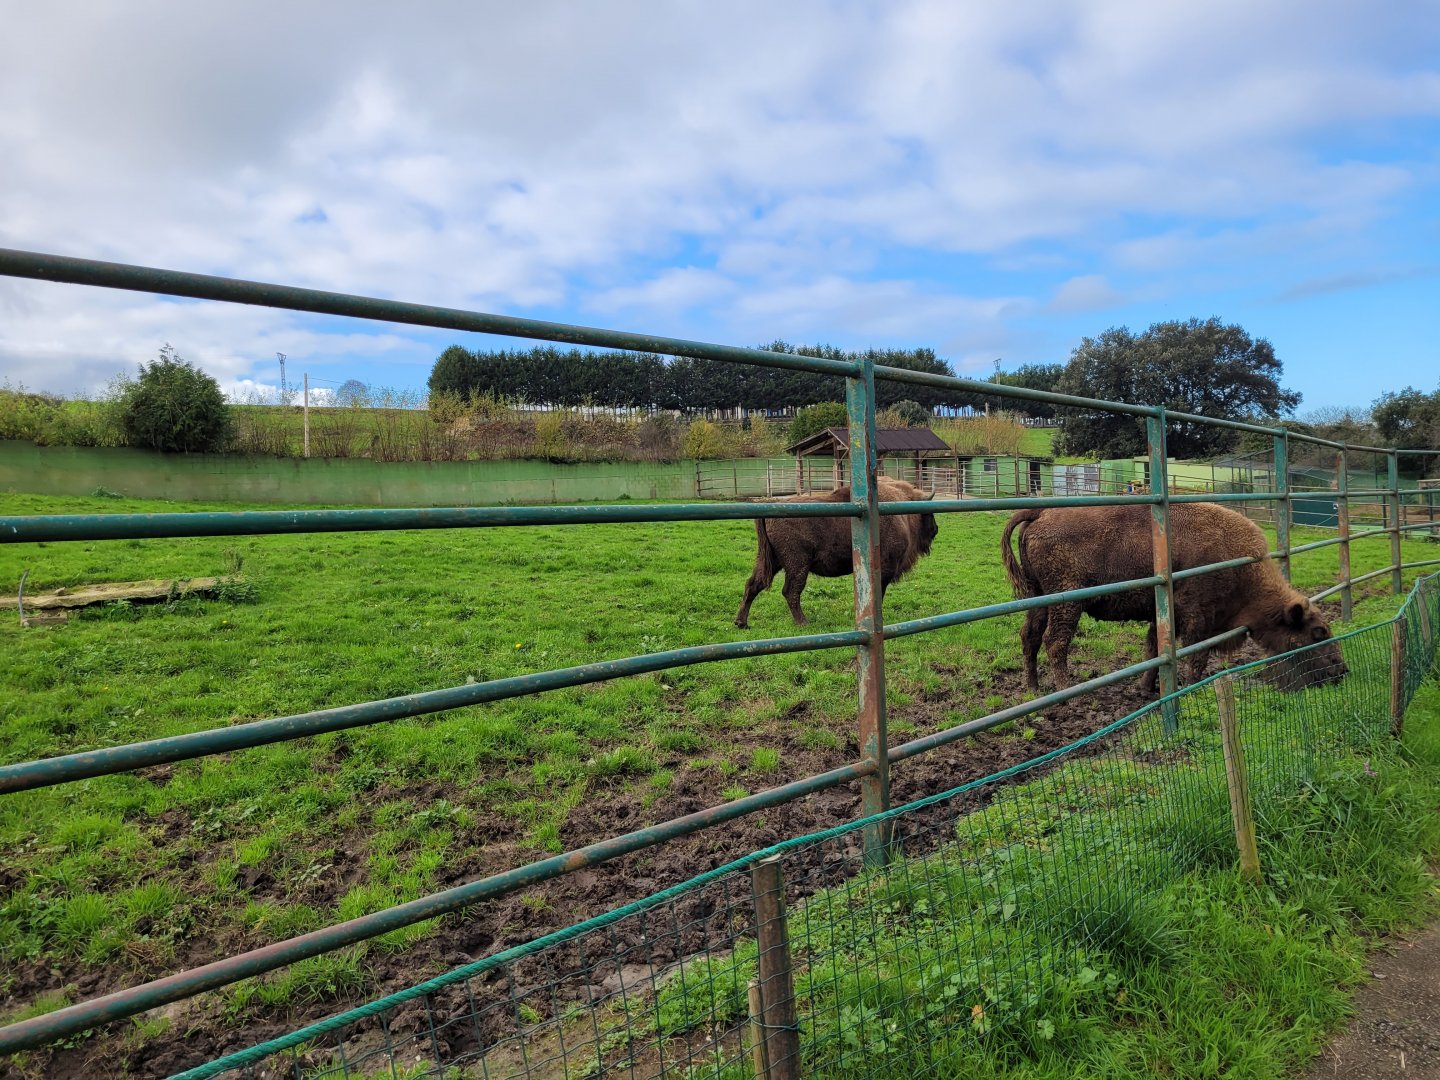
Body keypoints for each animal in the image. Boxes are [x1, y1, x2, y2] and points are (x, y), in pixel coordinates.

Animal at [735, 477, 938, 628]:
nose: (936, 530)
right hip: (797, 564)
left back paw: (741, 623)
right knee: (790, 591)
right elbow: (878, 594)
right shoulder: (884, 571)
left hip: (771, 560)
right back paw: (803, 623)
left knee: (753, 584)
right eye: (929, 513)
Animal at [1001, 502, 1347, 693]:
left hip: (1038, 597)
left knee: (1030, 636)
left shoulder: (1164, 617)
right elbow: (1196, 654)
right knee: (1055, 642)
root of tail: (1041, 512)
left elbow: (1155, 649)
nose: (1341, 671)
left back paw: (1034, 688)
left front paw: (1145, 689)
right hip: (1067, 602)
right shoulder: (1197, 617)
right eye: (1318, 632)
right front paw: (1190, 687)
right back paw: (1069, 690)